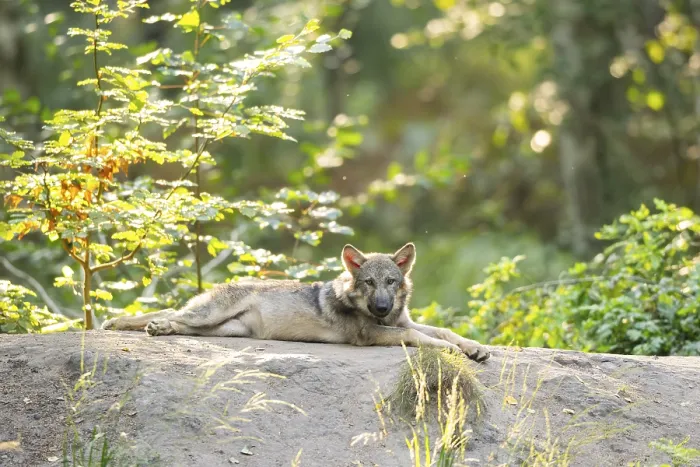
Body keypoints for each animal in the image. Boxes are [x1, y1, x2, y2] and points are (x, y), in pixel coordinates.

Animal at [102, 243, 490, 362]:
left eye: (391, 283)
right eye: (369, 283)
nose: (381, 308)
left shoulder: (402, 322)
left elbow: (443, 330)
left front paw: (474, 348)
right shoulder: (373, 335)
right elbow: (421, 338)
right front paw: (453, 351)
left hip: (223, 329)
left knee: (178, 319)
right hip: (206, 315)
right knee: (173, 314)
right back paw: (148, 326)